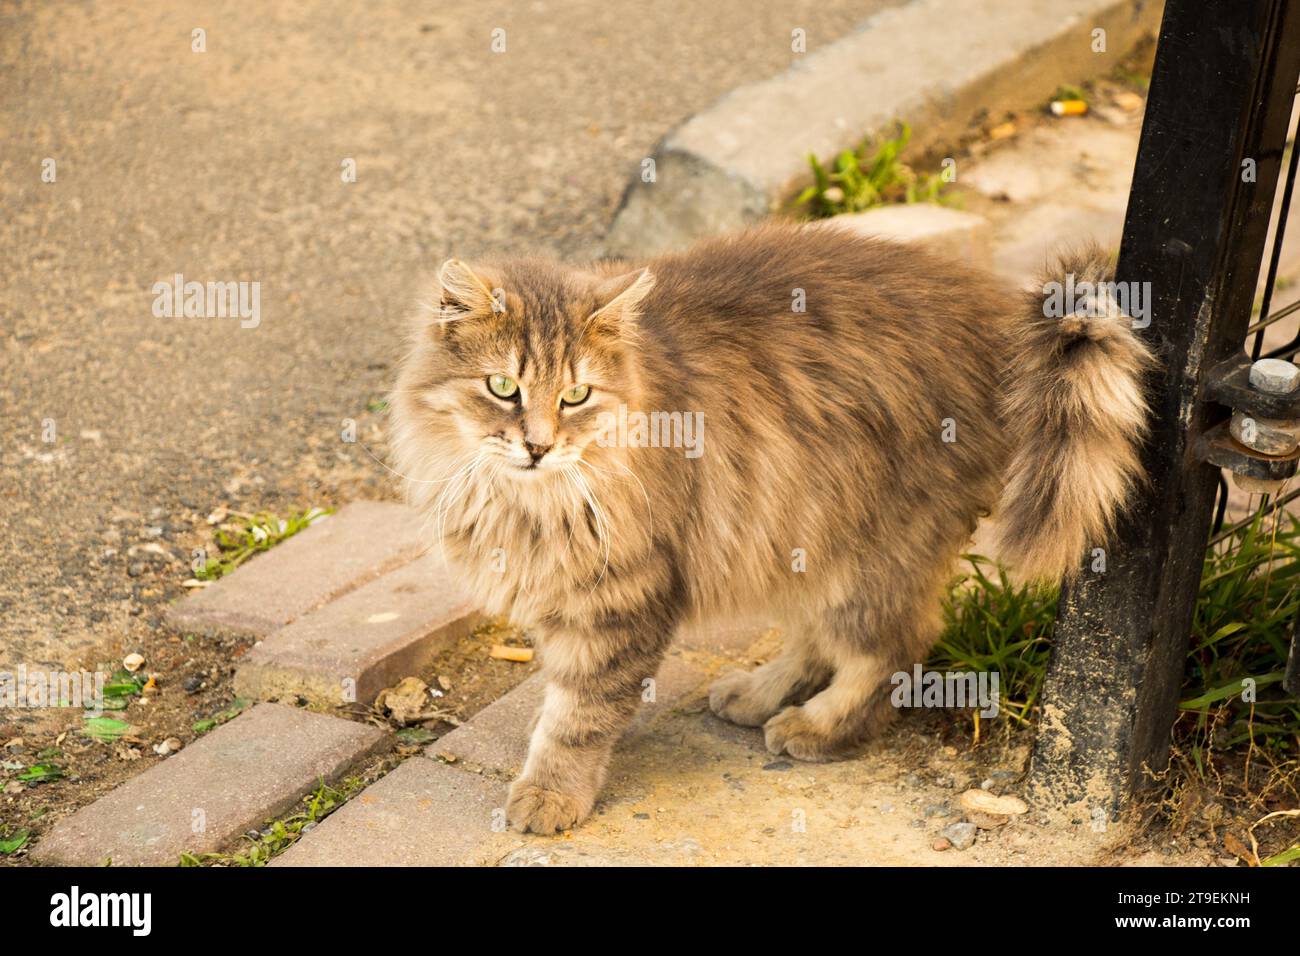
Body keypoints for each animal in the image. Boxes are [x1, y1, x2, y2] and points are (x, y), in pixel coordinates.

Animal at [390, 221, 1154, 832]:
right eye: (502, 388)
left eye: (575, 395)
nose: (539, 446)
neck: (526, 501)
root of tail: (997, 317)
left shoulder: (620, 600)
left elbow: (577, 718)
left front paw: (550, 794)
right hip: (802, 533)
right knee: (816, 640)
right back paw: (758, 694)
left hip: (873, 553)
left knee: (891, 649)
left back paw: (816, 725)